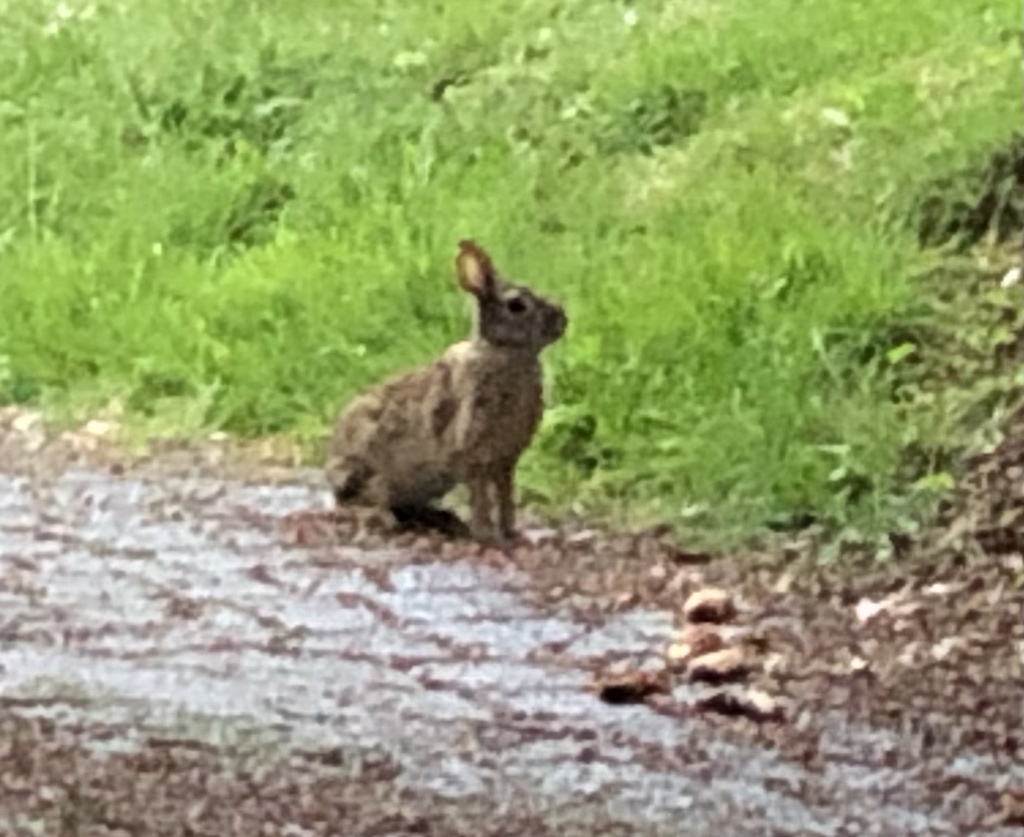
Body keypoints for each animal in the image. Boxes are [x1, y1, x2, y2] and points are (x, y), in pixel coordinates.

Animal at [327, 238, 569, 545]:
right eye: (517, 305)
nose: (562, 319)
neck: (503, 351)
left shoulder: (506, 458)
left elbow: (505, 494)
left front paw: (511, 533)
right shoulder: (473, 450)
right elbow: (481, 495)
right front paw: (487, 535)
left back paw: (446, 520)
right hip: (367, 467)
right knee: (357, 501)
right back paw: (383, 518)